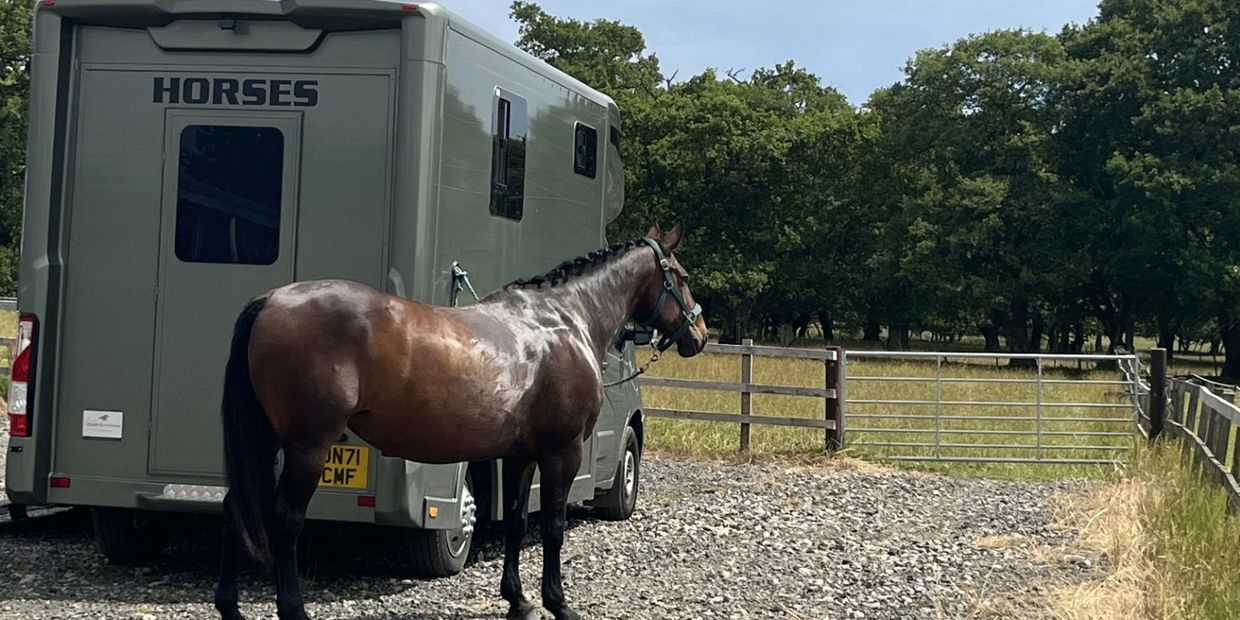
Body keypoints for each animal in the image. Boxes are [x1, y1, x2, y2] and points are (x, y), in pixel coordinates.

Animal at [213, 224, 708, 620]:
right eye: (682, 277)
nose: (700, 335)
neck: (563, 321)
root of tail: (272, 300)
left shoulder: (521, 454)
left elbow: (515, 523)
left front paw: (518, 601)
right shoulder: (561, 451)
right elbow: (552, 527)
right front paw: (557, 603)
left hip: (269, 439)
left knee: (236, 507)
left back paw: (230, 606)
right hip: (308, 448)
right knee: (285, 518)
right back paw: (293, 609)